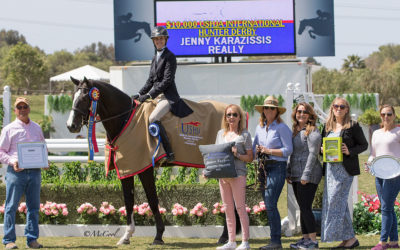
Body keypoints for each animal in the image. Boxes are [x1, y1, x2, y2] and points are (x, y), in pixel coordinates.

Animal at [66, 77, 165, 245]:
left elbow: (152, 199)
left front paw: (158, 236)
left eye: (85, 98)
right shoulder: (127, 168)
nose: (70, 125)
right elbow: (128, 200)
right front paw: (126, 236)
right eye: (73, 96)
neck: (126, 119)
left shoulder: (143, 168)